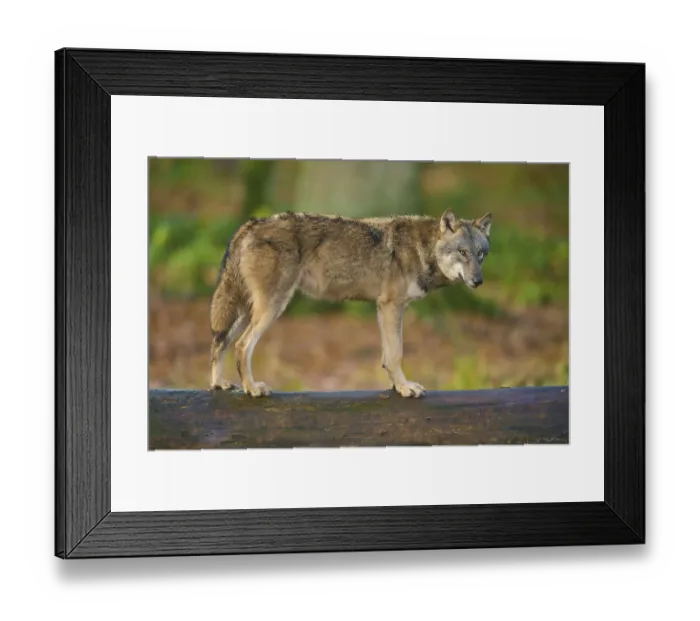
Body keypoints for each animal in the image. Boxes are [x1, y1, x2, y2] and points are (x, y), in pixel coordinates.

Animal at [209, 209, 492, 398]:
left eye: (480, 254)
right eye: (462, 252)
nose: (478, 281)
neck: (422, 248)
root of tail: (250, 224)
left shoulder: (384, 308)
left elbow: (387, 355)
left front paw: (395, 386)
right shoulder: (391, 306)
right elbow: (397, 353)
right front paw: (404, 388)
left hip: (247, 311)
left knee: (220, 343)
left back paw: (218, 384)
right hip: (272, 308)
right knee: (242, 345)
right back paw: (252, 388)